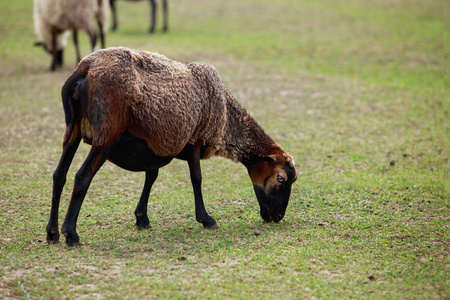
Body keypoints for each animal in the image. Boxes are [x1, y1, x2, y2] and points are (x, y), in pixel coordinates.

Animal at [47, 47, 298, 246]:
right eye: (281, 179)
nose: (278, 216)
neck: (227, 119)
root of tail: (84, 70)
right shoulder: (196, 138)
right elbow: (196, 178)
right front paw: (206, 219)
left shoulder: (157, 144)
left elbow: (151, 176)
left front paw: (142, 218)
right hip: (106, 135)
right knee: (81, 177)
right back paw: (71, 235)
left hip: (73, 129)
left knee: (59, 175)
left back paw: (52, 233)